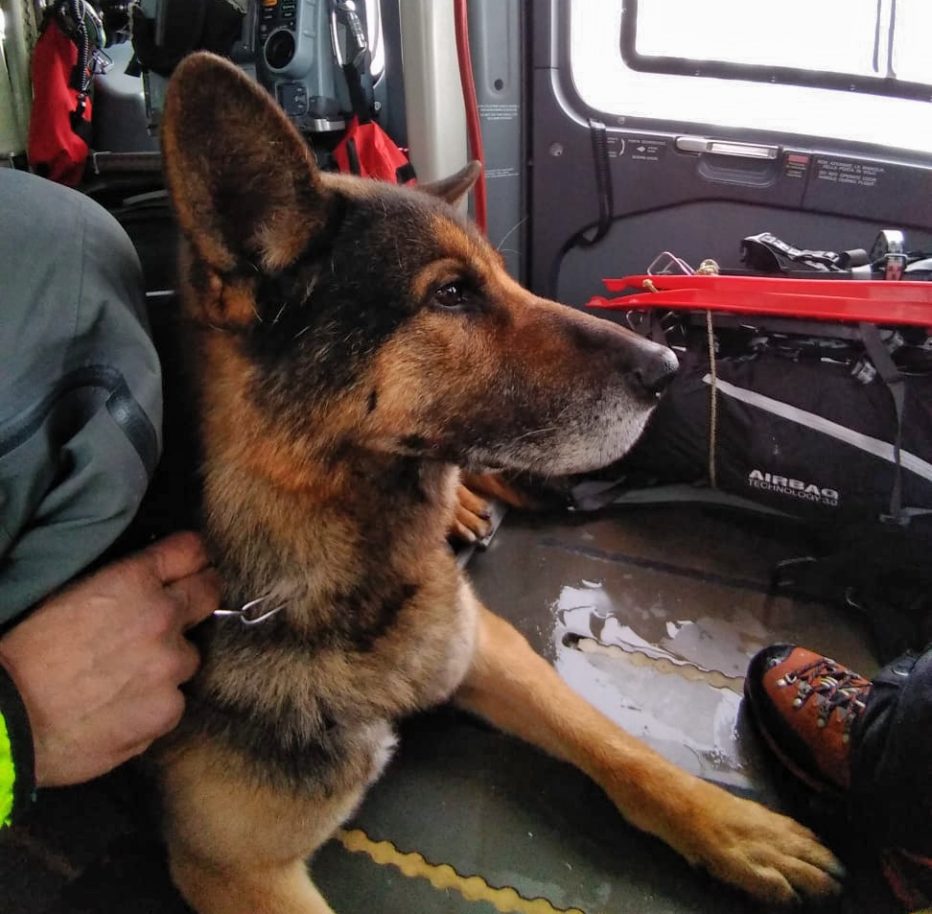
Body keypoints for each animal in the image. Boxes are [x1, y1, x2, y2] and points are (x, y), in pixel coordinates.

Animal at [155, 53, 844, 908]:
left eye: (500, 277)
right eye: (451, 293)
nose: (668, 368)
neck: (354, 580)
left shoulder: (490, 644)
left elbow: (615, 744)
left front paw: (734, 826)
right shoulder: (238, 870)